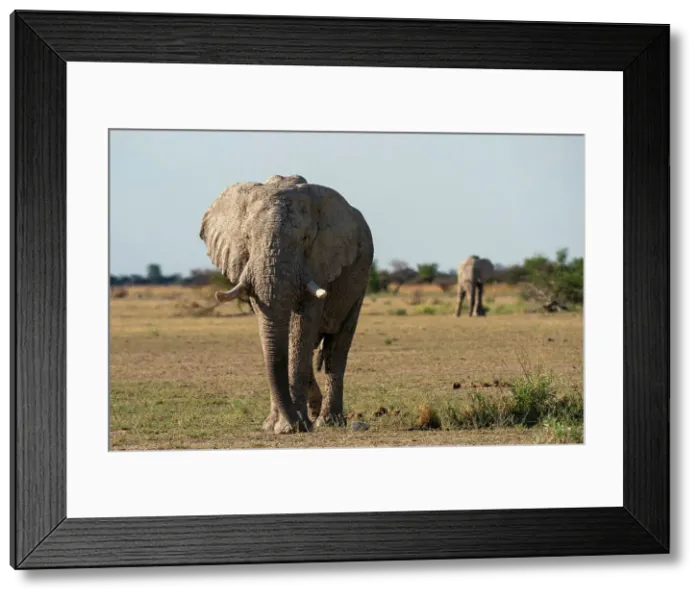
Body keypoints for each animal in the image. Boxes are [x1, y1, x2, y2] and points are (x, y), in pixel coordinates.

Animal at [199, 174, 374, 434]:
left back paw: (327, 420)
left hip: (360, 280)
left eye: (305, 239)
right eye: (247, 238)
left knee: (338, 344)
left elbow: (302, 325)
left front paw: (290, 427)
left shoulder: (318, 262)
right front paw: (274, 426)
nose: (298, 423)